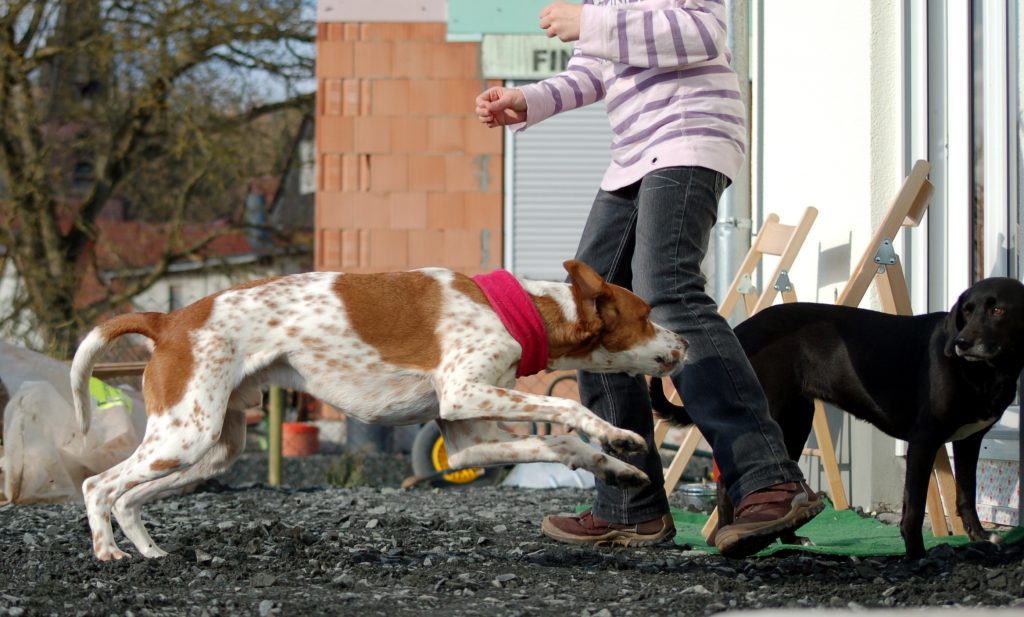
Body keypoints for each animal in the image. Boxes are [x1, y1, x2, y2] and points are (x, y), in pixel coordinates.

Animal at [72, 259, 688, 560]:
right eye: (646, 314)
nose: (685, 343)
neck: (523, 311)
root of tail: (169, 319)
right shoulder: (464, 392)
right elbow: (565, 412)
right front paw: (617, 435)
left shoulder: (466, 441)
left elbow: (557, 440)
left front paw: (619, 464)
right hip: (184, 437)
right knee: (98, 486)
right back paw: (108, 554)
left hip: (213, 449)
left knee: (128, 498)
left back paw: (152, 552)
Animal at [655, 278, 1024, 556]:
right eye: (967, 311)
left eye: (998, 310)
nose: (962, 343)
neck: (985, 371)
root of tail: (741, 331)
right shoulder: (924, 441)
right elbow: (914, 506)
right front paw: (916, 554)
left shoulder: (969, 441)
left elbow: (967, 492)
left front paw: (979, 538)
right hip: (770, 413)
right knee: (724, 481)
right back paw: (727, 535)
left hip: (795, 422)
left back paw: (790, 538)